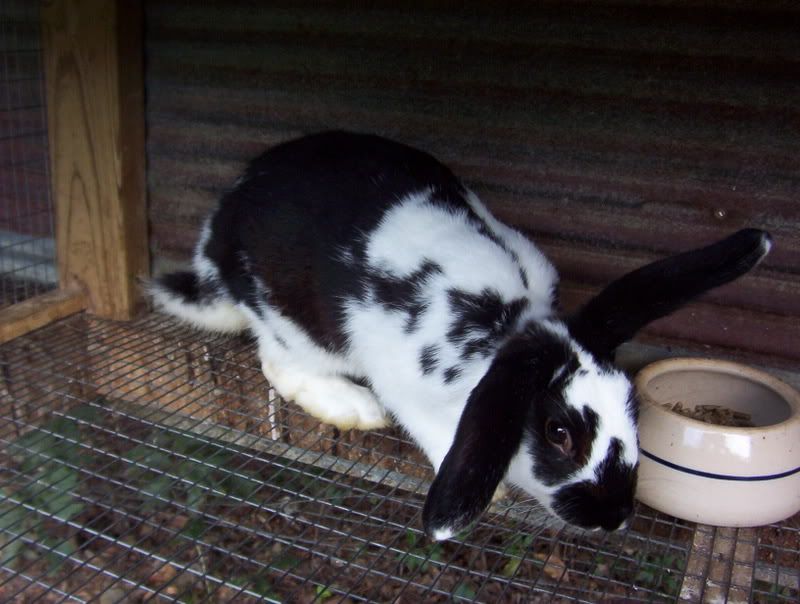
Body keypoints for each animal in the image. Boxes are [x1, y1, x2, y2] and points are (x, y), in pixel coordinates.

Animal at [149, 131, 772, 540]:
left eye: (632, 406)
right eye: (559, 433)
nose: (614, 516)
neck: (501, 330)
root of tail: (214, 242)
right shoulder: (405, 385)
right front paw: (490, 494)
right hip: (292, 327)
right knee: (278, 364)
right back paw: (354, 408)